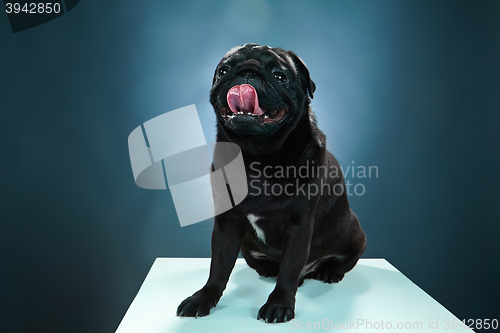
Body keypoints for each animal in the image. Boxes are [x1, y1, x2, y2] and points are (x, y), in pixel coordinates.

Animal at [178, 43, 366, 322]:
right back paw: (268, 268)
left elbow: (289, 268)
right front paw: (203, 298)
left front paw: (279, 304)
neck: (256, 157)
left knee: (335, 262)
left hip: (353, 232)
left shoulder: (298, 225)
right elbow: (219, 265)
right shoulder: (227, 223)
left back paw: (329, 271)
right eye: (223, 70)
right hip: (247, 245)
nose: (247, 71)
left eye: (280, 76)